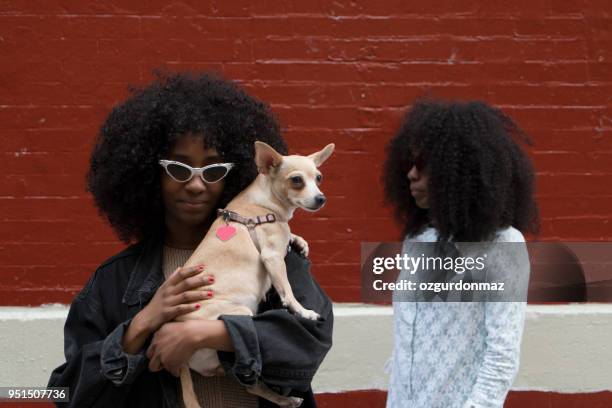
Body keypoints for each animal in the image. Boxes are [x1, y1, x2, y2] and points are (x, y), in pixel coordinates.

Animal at [172, 141, 334, 408]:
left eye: (318, 178)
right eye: (297, 180)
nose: (321, 198)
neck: (265, 205)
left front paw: (298, 240)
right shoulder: (273, 258)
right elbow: (288, 291)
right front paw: (303, 312)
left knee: (248, 384)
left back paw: (284, 399)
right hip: (240, 314)